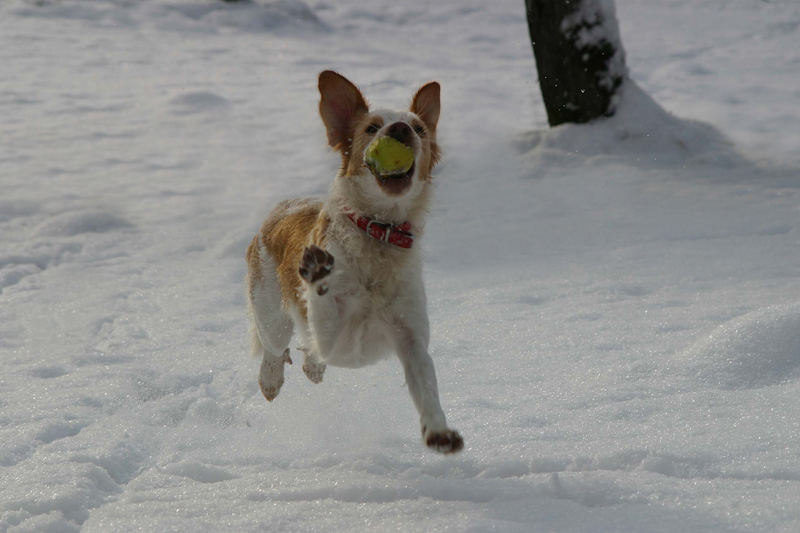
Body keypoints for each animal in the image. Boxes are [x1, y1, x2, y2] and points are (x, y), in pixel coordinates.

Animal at [244, 70, 462, 454]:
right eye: (372, 127)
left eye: (419, 128)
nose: (399, 130)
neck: (379, 233)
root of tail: (280, 209)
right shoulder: (340, 341)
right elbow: (323, 328)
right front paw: (319, 275)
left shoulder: (411, 338)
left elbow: (427, 387)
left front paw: (439, 431)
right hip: (270, 313)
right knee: (274, 346)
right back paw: (271, 378)